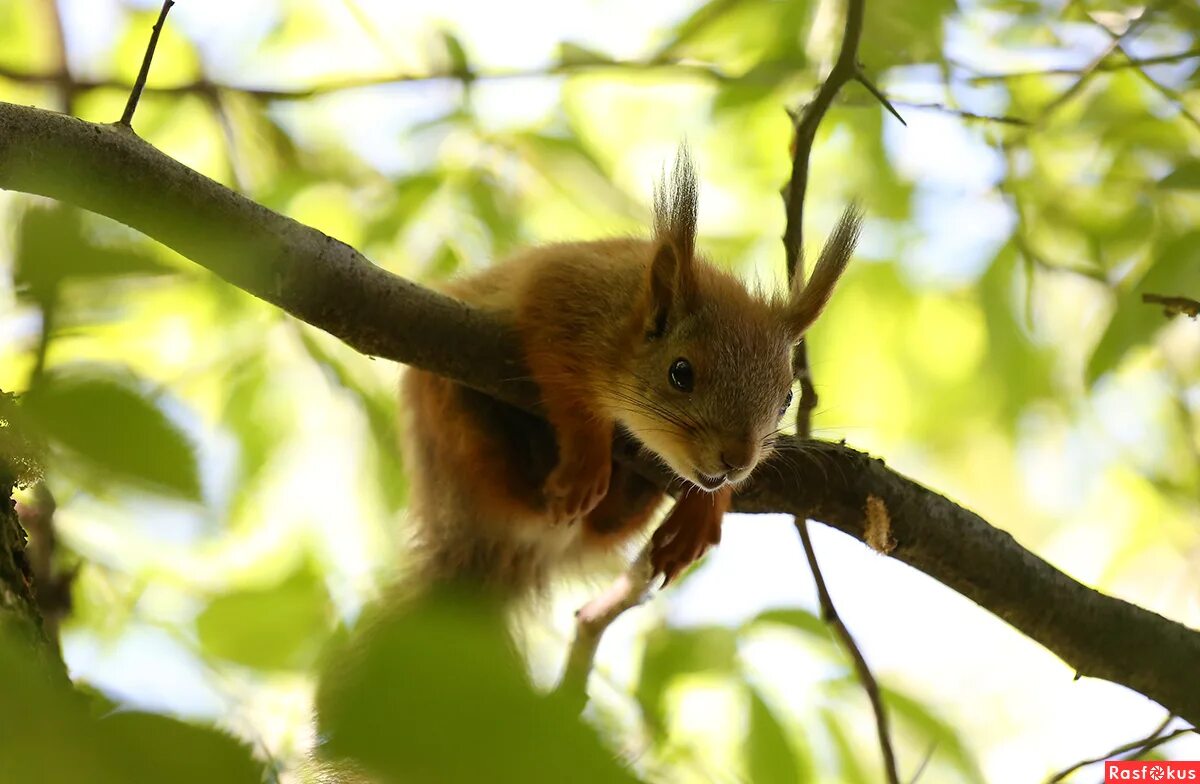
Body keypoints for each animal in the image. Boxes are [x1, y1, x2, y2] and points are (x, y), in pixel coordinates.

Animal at [403, 146, 864, 593]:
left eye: (787, 398)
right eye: (680, 373)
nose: (737, 460)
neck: (628, 312)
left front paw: (704, 510)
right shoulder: (558, 295)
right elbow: (569, 390)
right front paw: (587, 460)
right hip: (450, 422)